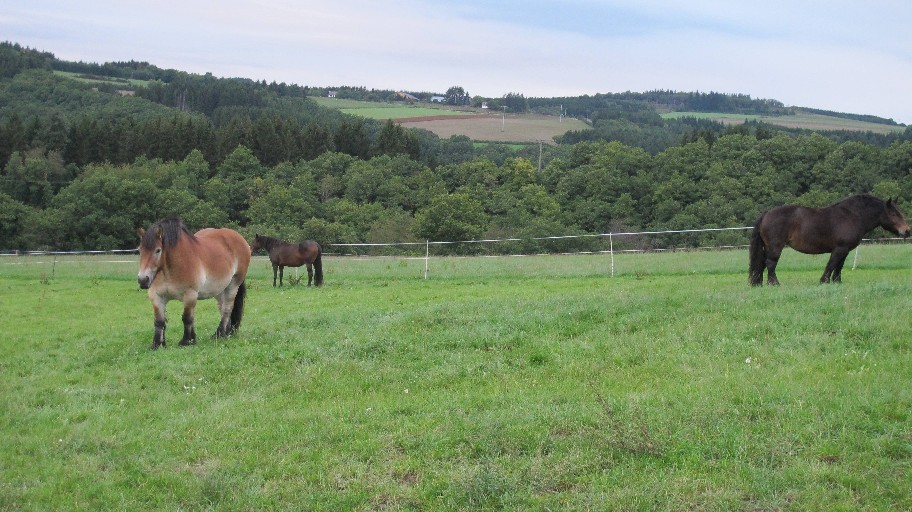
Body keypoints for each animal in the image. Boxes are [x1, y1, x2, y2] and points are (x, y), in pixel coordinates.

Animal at [136, 218, 249, 350]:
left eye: (158, 250)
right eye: (140, 250)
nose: (143, 280)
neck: (168, 269)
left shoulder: (190, 294)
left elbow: (187, 318)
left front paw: (186, 341)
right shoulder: (156, 296)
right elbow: (159, 321)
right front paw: (157, 344)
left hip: (233, 285)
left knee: (227, 309)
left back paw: (219, 334)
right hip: (220, 289)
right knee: (222, 308)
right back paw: (226, 333)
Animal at [752, 194, 908, 286]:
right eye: (893, 214)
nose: (907, 230)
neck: (853, 216)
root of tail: (767, 214)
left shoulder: (845, 250)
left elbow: (839, 266)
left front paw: (837, 282)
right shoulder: (839, 249)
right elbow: (832, 264)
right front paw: (824, 281)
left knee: (763, 263)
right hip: (775, 247)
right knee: (770, 264)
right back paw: (774, 283)